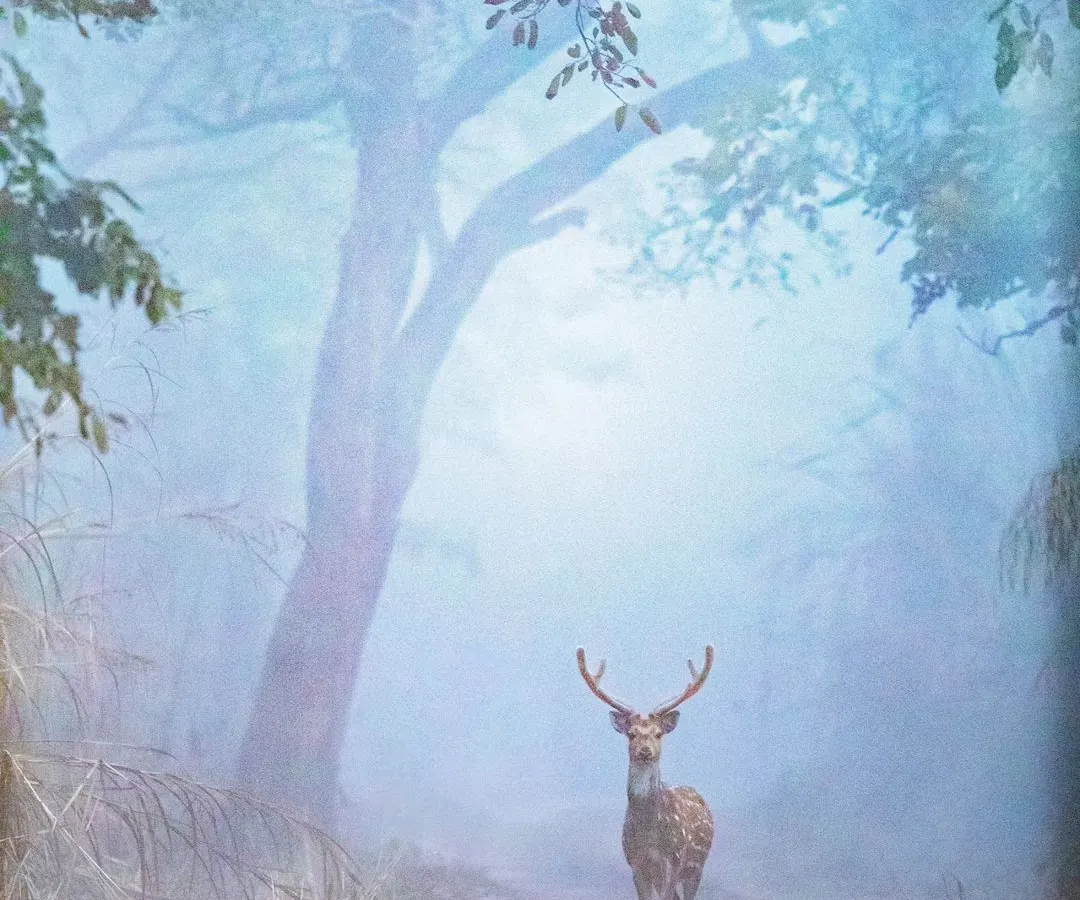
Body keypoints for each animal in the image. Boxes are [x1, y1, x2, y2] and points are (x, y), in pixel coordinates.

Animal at [577, 645, 715, 900]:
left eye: (658, 733)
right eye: (631, 734)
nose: (645, 750)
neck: (650, 839)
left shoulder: (673, 861)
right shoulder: (635, 863)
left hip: (696, 866)